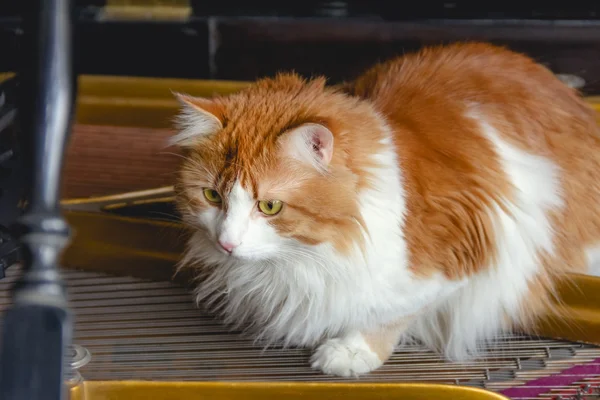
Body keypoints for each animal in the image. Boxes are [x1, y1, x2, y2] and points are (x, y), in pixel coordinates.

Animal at [168, 42, 600, 376]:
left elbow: (393, 311)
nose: (226, 244)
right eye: (212, 196)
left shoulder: (469, 253)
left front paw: (350, 351)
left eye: (269, 206)